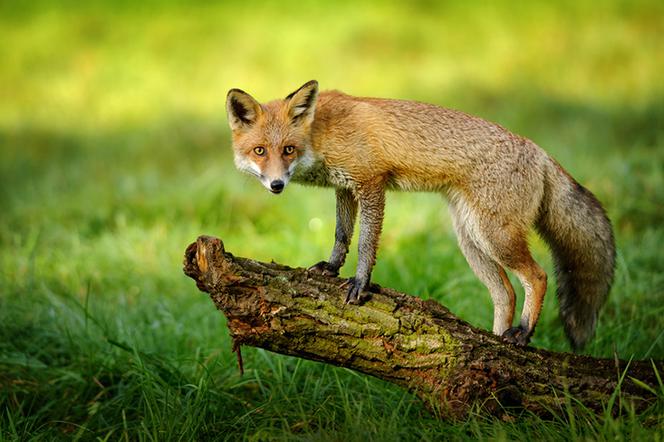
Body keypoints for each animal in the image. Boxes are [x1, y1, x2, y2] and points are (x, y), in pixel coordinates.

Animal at [226, 79, 616, 348]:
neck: (322, 132)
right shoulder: (345, 188)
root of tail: (540, 151)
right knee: (505, 293)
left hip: (495, 236)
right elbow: (341, 234)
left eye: (288, 150)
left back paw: (522, 333)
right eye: (260, 151)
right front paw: (331, 268)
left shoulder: (371, 183)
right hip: (471, 239)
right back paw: (492, 348)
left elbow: (366, 244)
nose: (277, 185)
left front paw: (360, 284)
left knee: (537, 276)